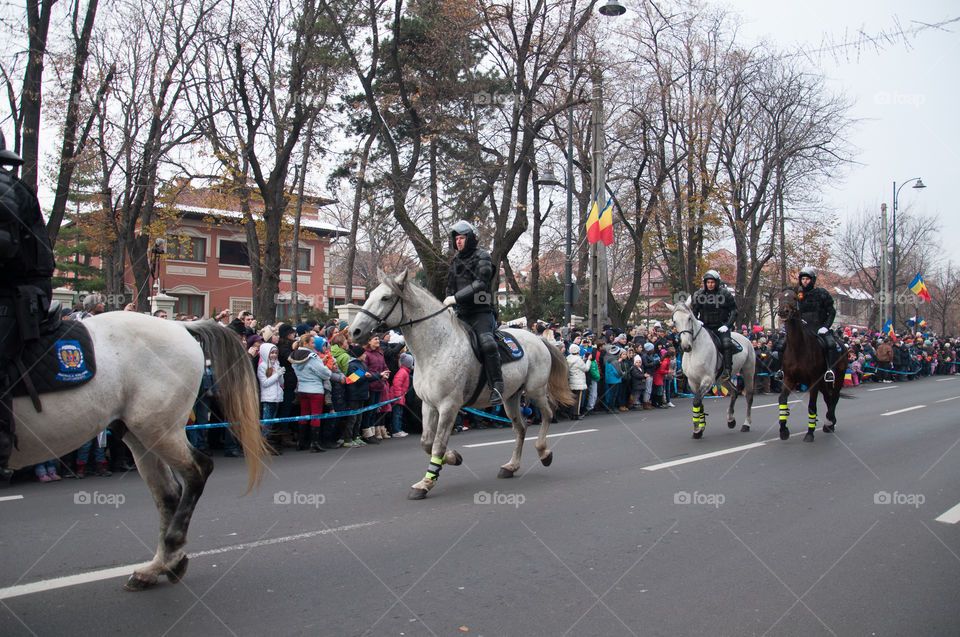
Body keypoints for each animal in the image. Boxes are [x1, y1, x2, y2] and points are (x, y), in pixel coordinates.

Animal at [9, 314, 268, 592]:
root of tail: (180, 326)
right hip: (142, 433)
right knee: (169, 491)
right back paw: (160, 565)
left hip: (156, 428)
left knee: (197, 469)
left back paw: (171, 546)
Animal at [352, 270, 576, 500]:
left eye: (385, 298)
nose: (355, 331)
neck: (437, 348)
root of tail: (538, 339)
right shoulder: (429, 405)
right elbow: (427, 442)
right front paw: (453, 458)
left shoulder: (449, 406)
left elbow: (438, 445)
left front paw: (426, 482)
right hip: (511, 397)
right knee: (521, 427)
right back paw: (511, 466)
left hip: (536, 390)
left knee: (547, 414)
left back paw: (544, 452)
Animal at [664, 298, 752, 438]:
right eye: (674, 321)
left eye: (689, 318)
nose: (686, 346)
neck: (695, 351)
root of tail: (745, 338)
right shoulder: (693, 382)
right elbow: (699, 402)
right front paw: (700, 427)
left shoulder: (707, 380)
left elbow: (696, 401)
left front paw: (696, 430)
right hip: (722, 379)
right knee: (734, 392)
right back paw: (731, 420)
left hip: (749, 370)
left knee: (748, 396)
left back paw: (746, 424)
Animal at [776, 288, 844, 442]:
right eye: (780, 298)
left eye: (794, 298)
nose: (783, 312)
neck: (798, 347)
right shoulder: (789, 378)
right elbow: (782, 399)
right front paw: (783, 430)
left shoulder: (814, 381)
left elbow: (812, 406)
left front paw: (809, 433)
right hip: (823, 384)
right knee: (828, 398)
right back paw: (829, 424)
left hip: (838, 378)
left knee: (834, 397)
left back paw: (829, 421)